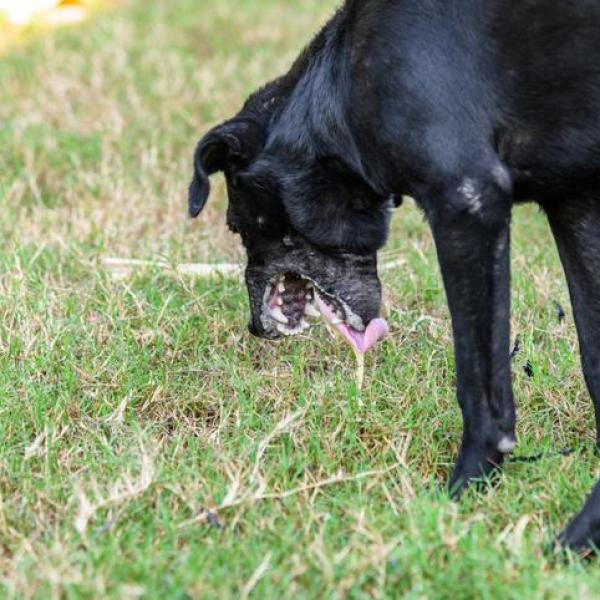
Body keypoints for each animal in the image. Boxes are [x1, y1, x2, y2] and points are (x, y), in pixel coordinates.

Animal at [190, 0, 600, 552]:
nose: (254, 328)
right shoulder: (576, 204)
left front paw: (463, 492)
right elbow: (593, 357)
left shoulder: (468, 203)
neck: (339, 84)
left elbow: (480, 385)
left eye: (237, 224)